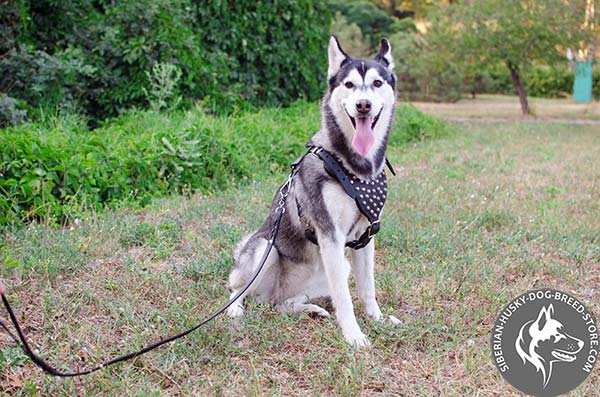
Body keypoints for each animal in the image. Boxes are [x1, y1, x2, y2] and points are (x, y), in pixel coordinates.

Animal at [227, 37, 396, 346]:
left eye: (377, 83)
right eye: (349, 85)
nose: (363, 105)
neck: (354, 169)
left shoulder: (365, 238)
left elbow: (368, 288)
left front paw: (377, 319)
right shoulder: (330, 235)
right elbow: (344, 297)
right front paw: (353, 335)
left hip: (332, 269)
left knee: (280, 304)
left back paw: (310, 309)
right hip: (264, 249)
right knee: (238, 289)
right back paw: (235, 308)